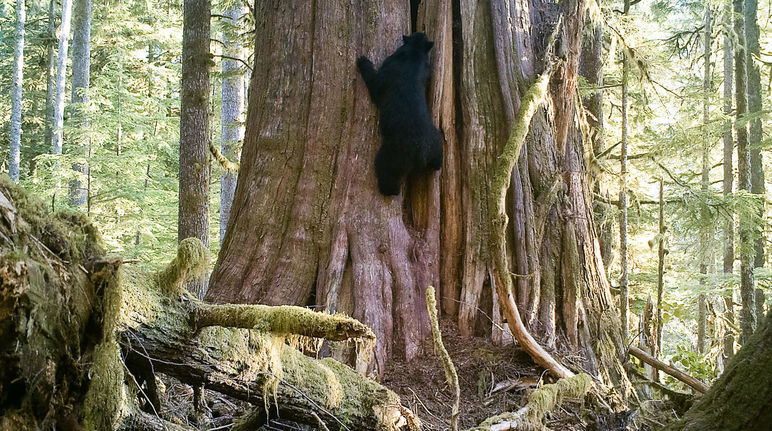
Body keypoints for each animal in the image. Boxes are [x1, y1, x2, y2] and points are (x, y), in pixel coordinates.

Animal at [354, 33, 440, 197]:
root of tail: (422, 152)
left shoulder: (383, 76)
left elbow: (373, 81)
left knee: (388, 178)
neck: (415, 53)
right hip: (436, 146)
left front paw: (362, 60)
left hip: (389, 158)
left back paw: (388, 191)